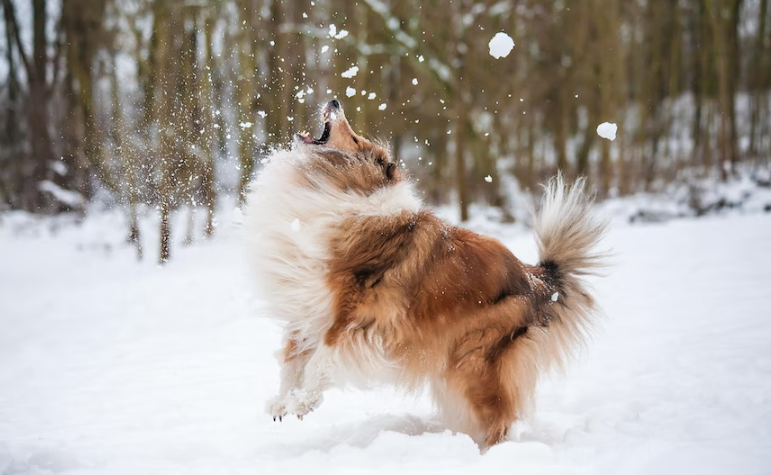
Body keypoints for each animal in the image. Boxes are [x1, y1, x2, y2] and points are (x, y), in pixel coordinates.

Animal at [244, 98, 608, 448]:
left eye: (356, 138)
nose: (334, 101)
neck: (346, 190)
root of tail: (536, 278)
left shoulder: (356, 318)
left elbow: (321, 360)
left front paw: (302, 402)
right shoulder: (309, 306)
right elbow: (292, 359)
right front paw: (283, 401)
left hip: (474, 362)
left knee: (499, 417)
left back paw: (487, 454)